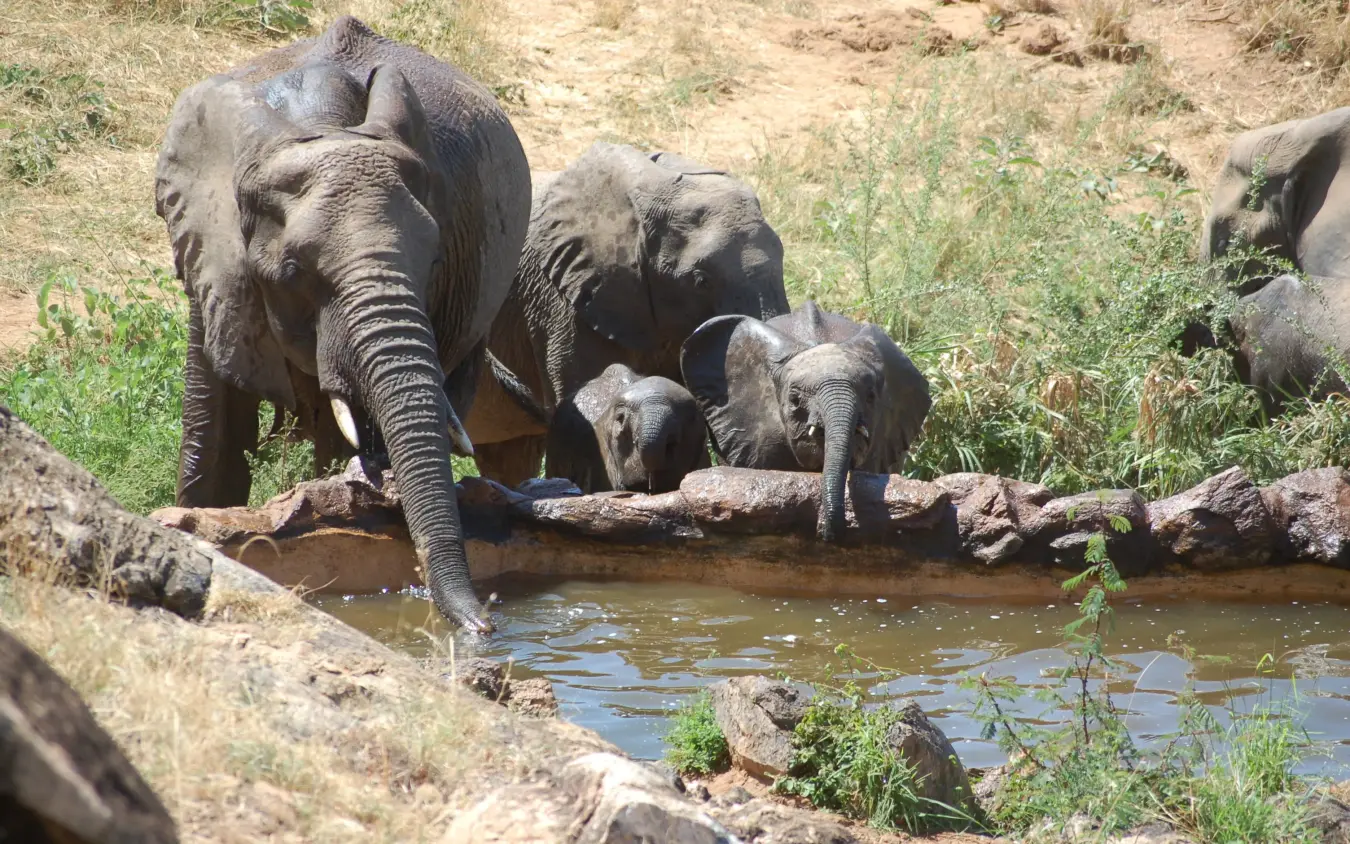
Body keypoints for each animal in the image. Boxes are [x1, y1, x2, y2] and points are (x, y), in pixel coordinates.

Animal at [154, 16, 531, 631]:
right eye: (292, 273)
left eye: (435, 263)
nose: (487, 623)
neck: (320, 122)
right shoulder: (213, 258)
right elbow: (214, 428)